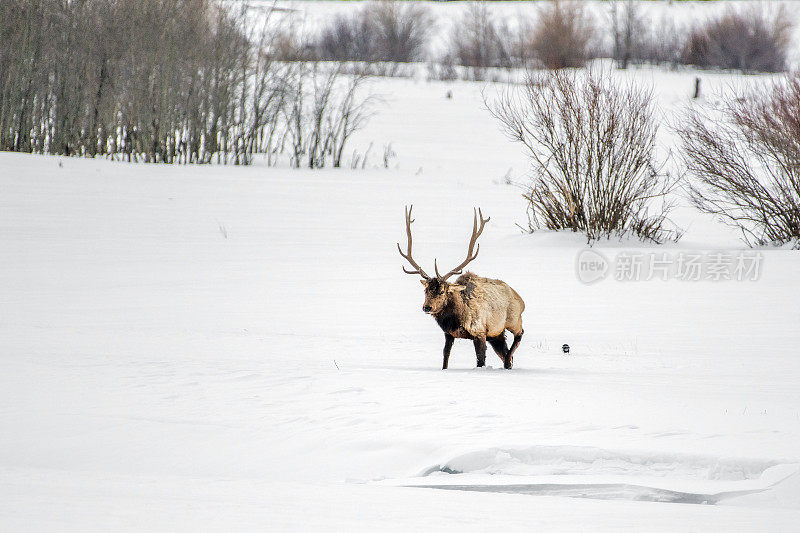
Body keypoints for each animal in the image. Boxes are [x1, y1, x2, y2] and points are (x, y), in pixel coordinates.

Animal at [396, 206, 520, 368]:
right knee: (507, 356)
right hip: (496, 335)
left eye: (442, 291)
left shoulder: (480, 331)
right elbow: (445, 357)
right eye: (425, 290)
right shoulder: (448, 334)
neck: (456, 319)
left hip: (500, 328)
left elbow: (480, 361)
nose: (427, 307)